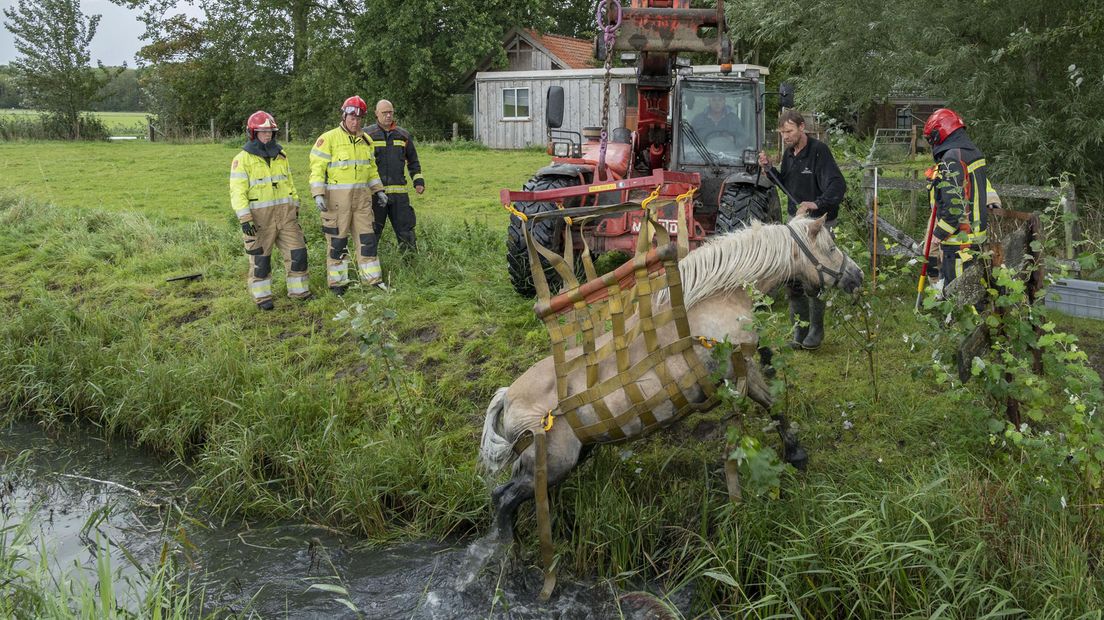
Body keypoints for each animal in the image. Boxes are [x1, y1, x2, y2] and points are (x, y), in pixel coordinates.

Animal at [474, 215, 861, 538]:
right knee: (503, 499)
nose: (856, 275)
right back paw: (507, 548)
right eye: (830, 247)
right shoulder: (741, 370)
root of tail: (507, 396)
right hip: (553, 462)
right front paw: (795, 453)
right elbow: (774, 405)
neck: (717, 299)